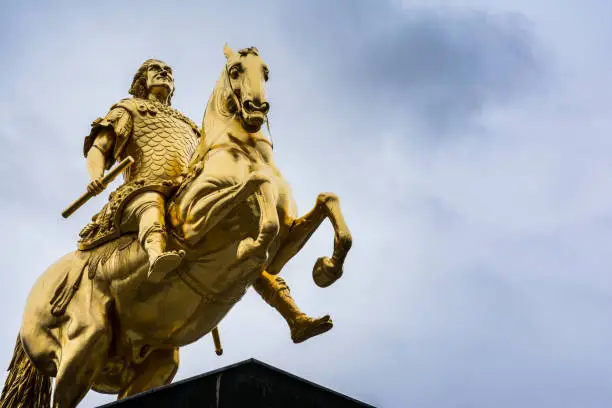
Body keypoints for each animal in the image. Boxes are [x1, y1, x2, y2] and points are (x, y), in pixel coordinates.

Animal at [0, 45, 352, 408]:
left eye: (266, 71)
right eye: (236, 70)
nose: (256, 108)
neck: (240, 152)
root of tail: (34, 298)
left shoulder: (285, 242)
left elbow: (327, 202)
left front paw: (326, 270)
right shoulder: (193, 223)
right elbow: (257, 185)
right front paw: (250, 247)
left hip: (153, 359)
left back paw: (305, 323)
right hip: (83, 346)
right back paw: (163, 260)